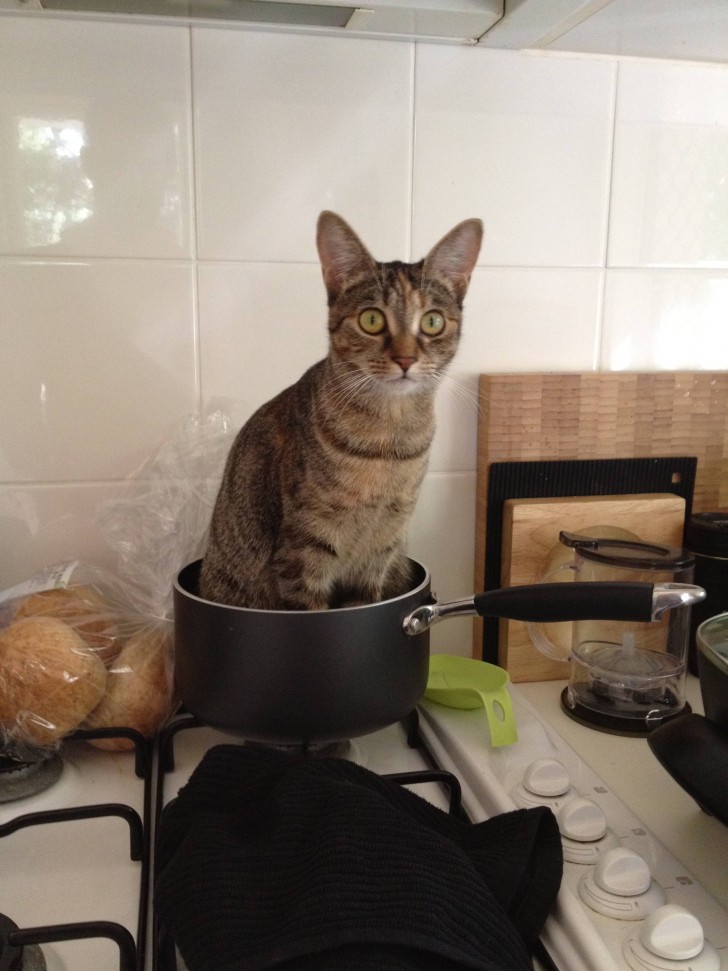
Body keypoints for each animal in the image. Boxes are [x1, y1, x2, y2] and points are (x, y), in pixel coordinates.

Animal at [199, 212, 484, 612]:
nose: (406, 359)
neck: (387, 445)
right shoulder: (304, 549)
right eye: (371, 320)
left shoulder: (380, 550)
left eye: (432, 322)